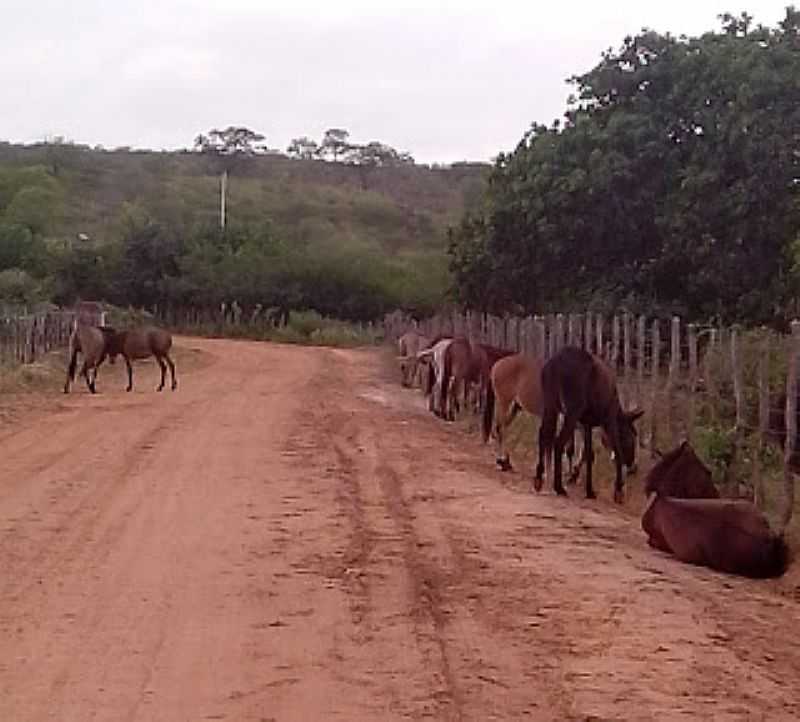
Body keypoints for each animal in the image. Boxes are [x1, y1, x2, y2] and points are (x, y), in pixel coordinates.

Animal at [532, 344, 644, 500]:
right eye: (631, 437)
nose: (633, 467)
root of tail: (553, 366)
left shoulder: (587, 423)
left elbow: (589, 454)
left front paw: (589, 490)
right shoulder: (608, 419)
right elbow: (616, 450)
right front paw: (618, 490)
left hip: (550, 403)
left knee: (543, 434)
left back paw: (539, 479)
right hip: (572, 409)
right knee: (558, 441)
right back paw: (559, 487)